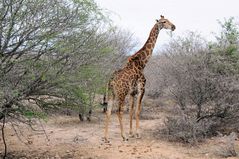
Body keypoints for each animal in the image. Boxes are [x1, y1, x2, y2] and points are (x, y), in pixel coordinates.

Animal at [104, 14, 176, 142]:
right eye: (164, 22)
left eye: (168, 20)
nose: (173, 26)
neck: (142, 63)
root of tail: (111, 81)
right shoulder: (142, 89)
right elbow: (137, 111)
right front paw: (137, 134)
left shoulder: (133, 92)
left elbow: (132, 111)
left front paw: (131, 133)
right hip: (121, 93)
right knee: (118, 111)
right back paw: (123, 136)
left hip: (112, 93)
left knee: (108, 111)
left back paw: (106, 137)